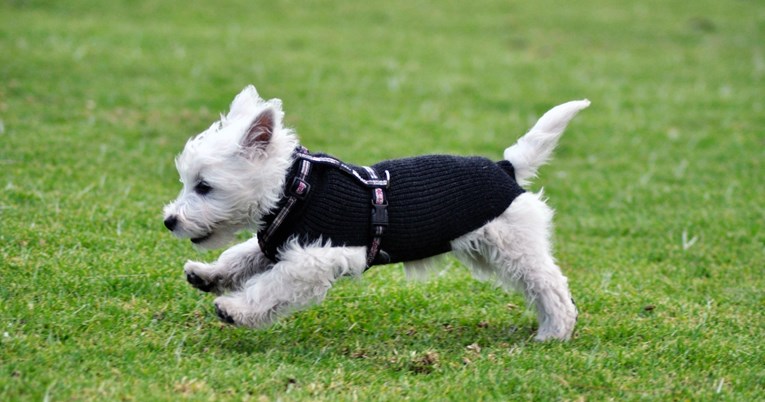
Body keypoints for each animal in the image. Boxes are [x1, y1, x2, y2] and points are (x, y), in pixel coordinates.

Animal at [163, 84, 592, 340]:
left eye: (204, 186)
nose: (169, 221)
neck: (293, 189)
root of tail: (506, 167)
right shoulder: (281, 240)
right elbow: (241, 256)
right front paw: (208, 275)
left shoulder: (319, 257)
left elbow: (272, 285)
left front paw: (235, 309)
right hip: (486, 250)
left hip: (516, 249)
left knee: (552, 286)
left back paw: (554, 333)